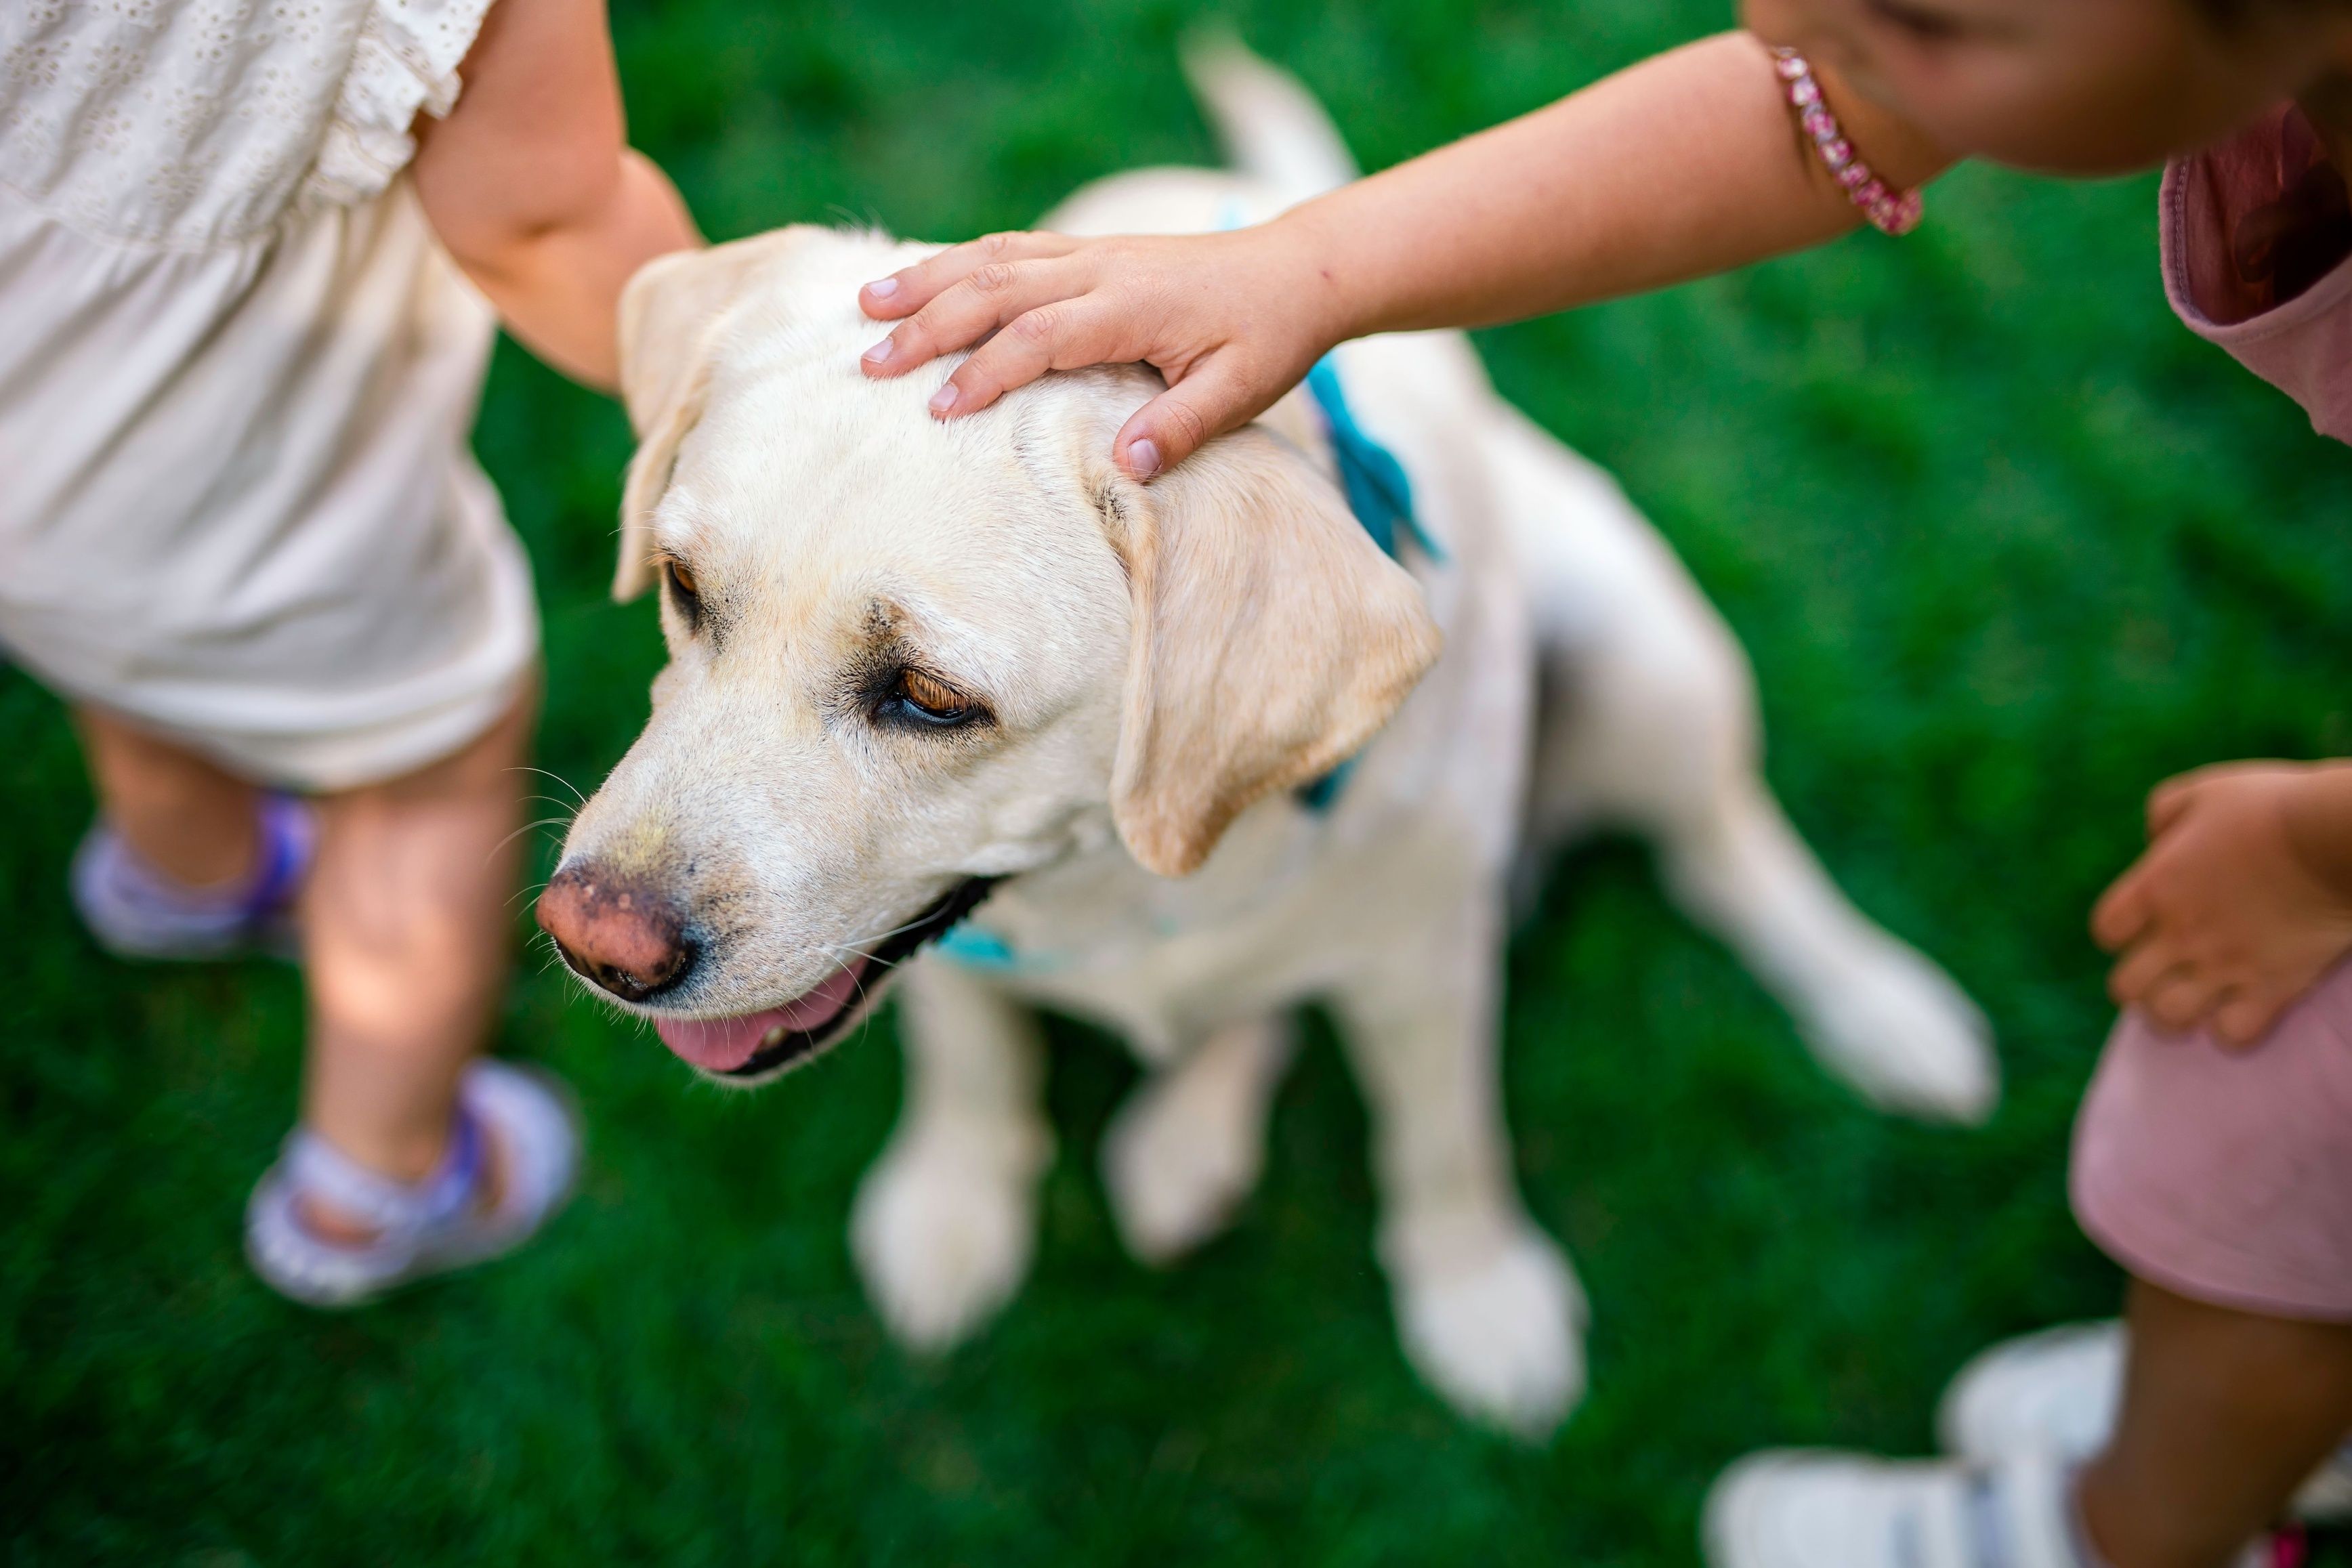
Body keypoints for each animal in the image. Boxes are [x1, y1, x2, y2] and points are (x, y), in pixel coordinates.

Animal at [541, 43, 1994, 1439]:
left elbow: (1443, 1140)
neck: (1121, 878)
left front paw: (1479, 1298)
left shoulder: (1427, 969)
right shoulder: (936, 948)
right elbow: (972, 1062)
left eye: (931, 698)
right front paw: (952, 1210)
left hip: (1642, 658)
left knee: (1724, 846)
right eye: (680, 587)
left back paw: (1883, 1008)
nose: (592, 944)